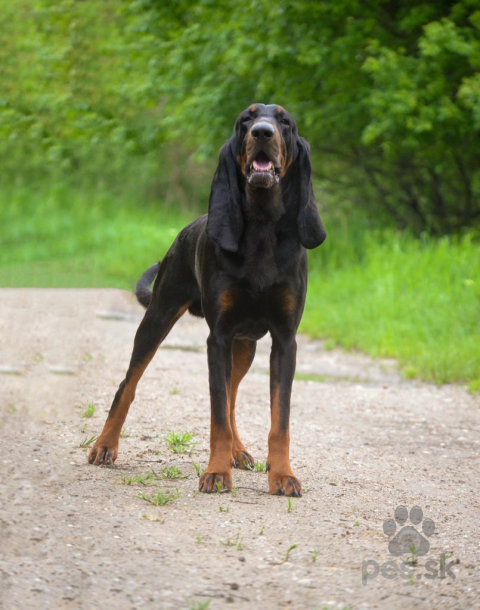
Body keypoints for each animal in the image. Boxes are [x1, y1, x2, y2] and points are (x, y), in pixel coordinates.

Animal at [87, 104, 324, 494]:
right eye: (246, 119)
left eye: (285, 121)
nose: (262, 132)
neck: (262, 226)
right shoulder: (219, 338)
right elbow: (217, 417)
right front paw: (216, 473)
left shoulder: (284, 341)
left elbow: (279, 419)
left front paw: (282, 474)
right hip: (158, 317)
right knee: (128, 384)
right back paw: (105, 446)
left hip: (245, 346)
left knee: (232, 398)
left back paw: (238, 452)